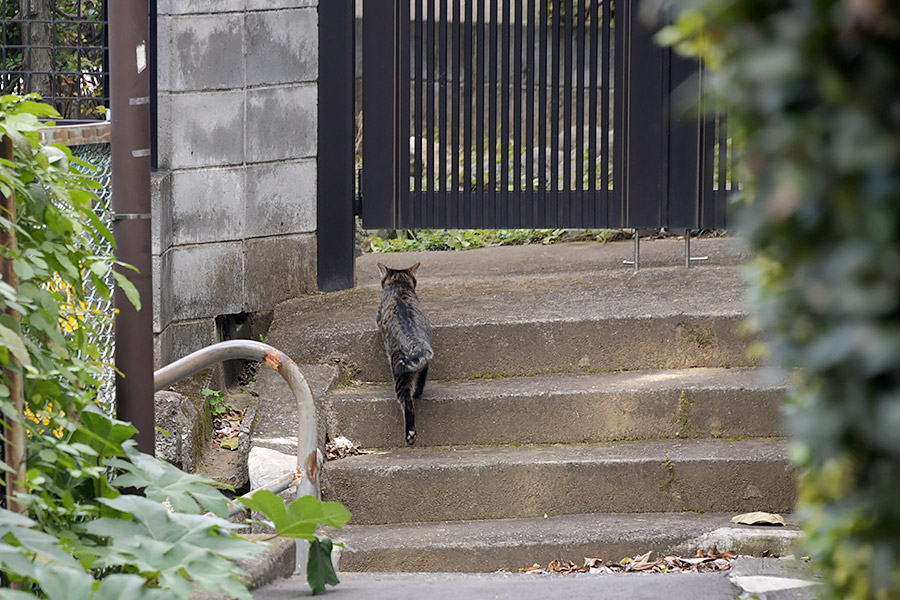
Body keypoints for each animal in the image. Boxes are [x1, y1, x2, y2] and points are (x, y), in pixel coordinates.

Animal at [376, 262, 432, 446]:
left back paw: (410, 435)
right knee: (420, 384)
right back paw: (418, 394)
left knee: (407, 404)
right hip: (423, 366)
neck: (399, 284)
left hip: (400, 378)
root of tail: (416, 346)